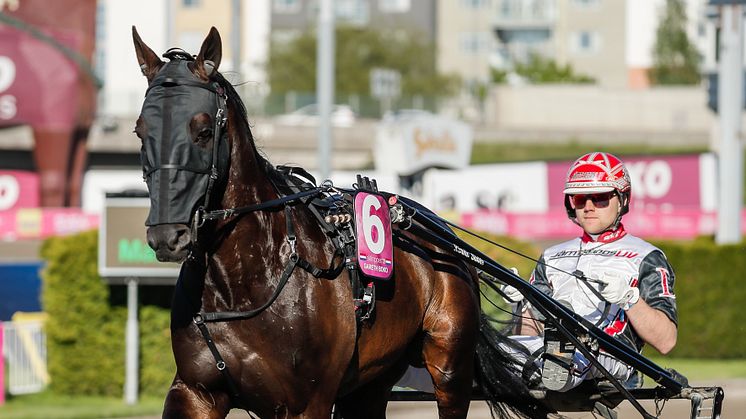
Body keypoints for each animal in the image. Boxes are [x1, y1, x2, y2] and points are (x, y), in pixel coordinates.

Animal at [131, 27, 544, 418]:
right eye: (141, 130)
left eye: (202, 131)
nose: (168, 235)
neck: (245, 278)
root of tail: (439, 230)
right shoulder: (196, 392)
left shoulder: (306, 403)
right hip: (372, 381)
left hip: (450, 365)